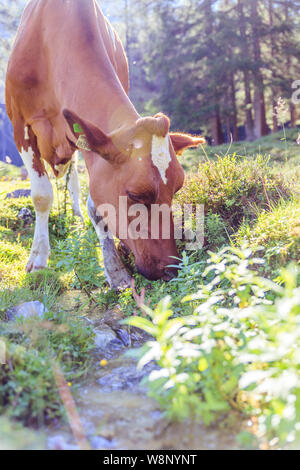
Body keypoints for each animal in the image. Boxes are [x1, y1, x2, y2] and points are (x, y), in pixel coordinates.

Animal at [5, 0, 205, 288]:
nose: (171, 269)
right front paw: (39, 259)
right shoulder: (20, 125)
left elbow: (96, 206)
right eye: (135, 195)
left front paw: (115, 270)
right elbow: (42, 195)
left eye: (177, 189)